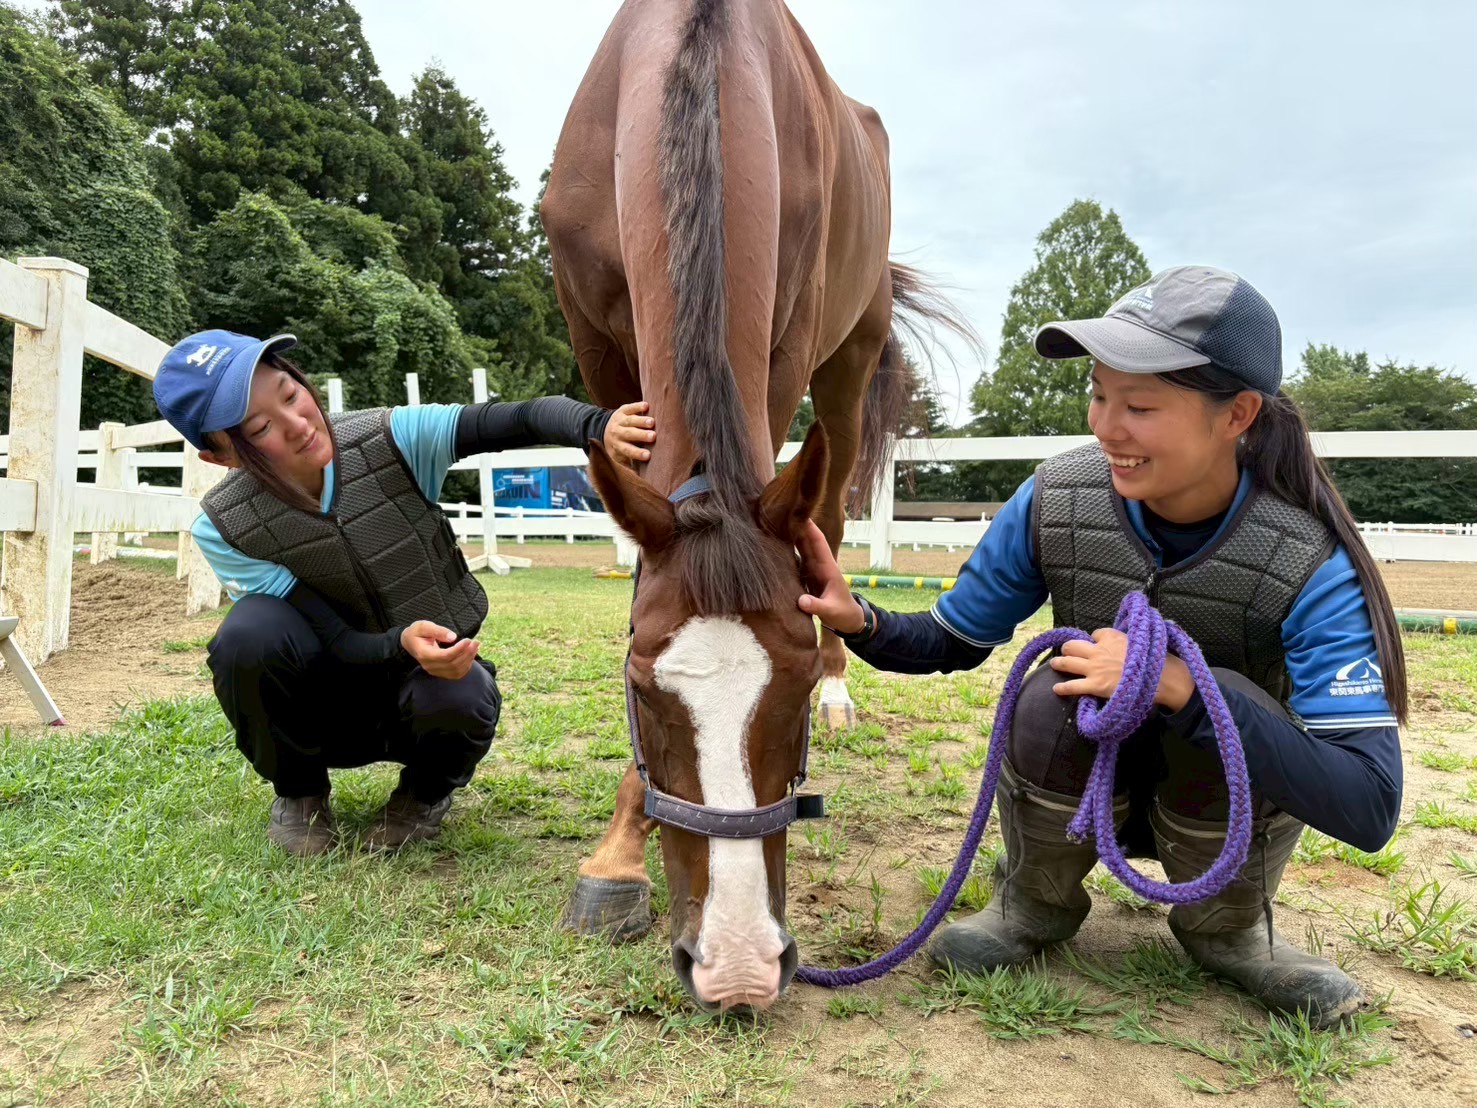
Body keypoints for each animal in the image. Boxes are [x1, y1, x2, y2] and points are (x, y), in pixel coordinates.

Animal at [541, 0, 971, 1010]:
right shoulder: (593, 336)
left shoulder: (785, 339)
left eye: (794, 688)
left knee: (834, 515)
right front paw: (618, 853)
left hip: (848, 369)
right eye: (638, 688)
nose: (737, 966)